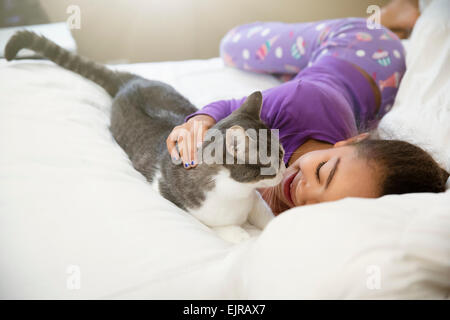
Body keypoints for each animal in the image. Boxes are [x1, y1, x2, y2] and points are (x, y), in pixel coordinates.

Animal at [6, 31, 284, 242]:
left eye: (281, 153)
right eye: (271, 162)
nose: (284, 169)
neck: (237, 195)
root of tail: (130, 82)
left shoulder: (254, 201)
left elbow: (267, 215)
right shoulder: (182, 203)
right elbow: (226, 229)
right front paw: (247, 237)